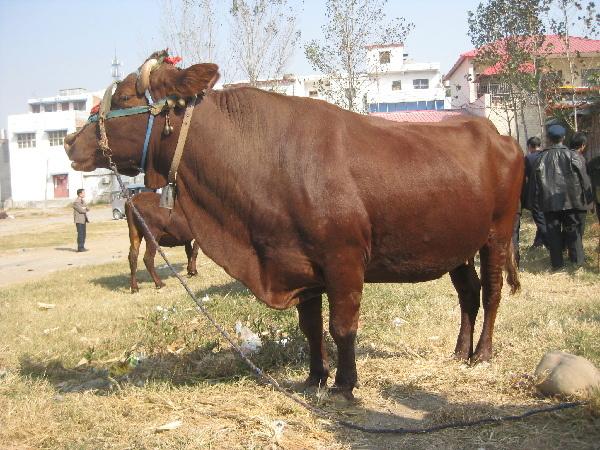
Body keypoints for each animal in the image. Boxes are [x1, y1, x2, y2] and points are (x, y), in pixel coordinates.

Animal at [65, 52, 524, 398]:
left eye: (125, 94)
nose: (70, 142)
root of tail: (497, 133)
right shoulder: (298, 262)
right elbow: (311, 328)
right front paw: (315, 378)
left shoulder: (343, 260)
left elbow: (341, 327)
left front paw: (345, 384)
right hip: (457, 245)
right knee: (468, 295)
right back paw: (459, 351)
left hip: (497, 234)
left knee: (492, 291)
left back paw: (482, 354)